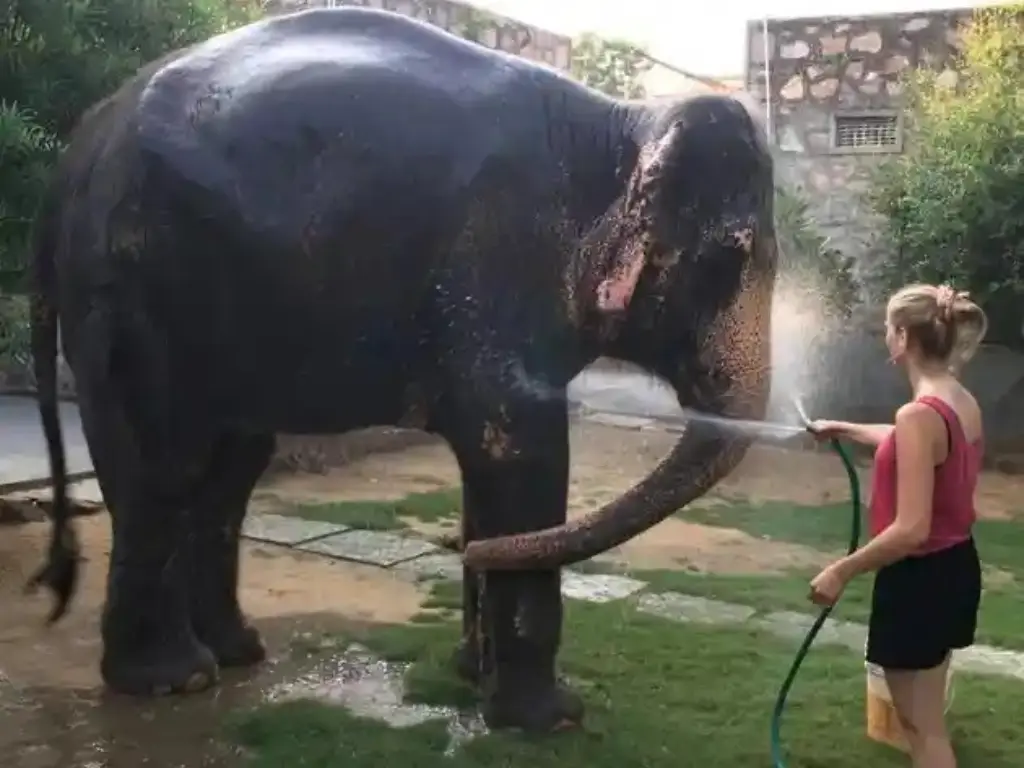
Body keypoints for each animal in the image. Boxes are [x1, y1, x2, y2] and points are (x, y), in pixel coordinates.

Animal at [28, 7, 777, 732]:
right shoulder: (498, 259)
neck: (619, 124)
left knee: (229, 469)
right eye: (730, 255)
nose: (455, 548)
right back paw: (174, 679)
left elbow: (495, 464)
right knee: (164, 462)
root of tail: (78, 148)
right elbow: (521, 447)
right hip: (131, 289)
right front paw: (553, 719)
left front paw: (474, 672)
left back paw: (234, 652)